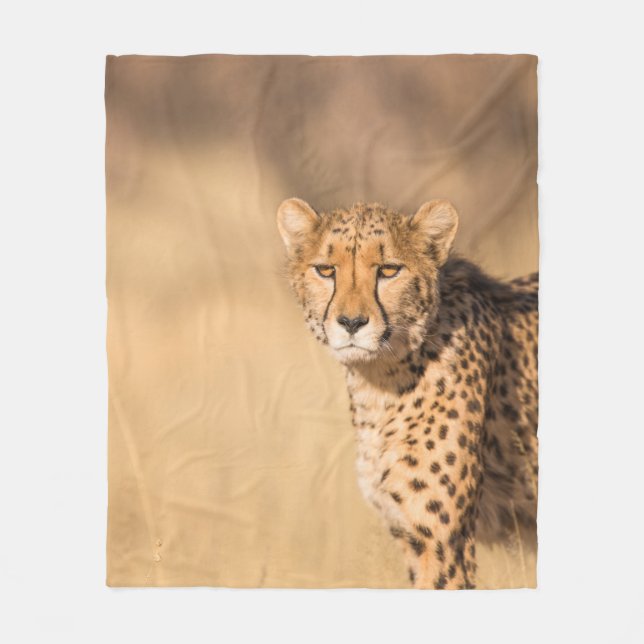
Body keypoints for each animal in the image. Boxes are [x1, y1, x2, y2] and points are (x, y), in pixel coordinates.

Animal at [276, 198, 538, 589]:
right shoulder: (410, 532)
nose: (351, 323)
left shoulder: (442, 540)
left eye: (388, 270)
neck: (379, 382)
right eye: (325, 270)